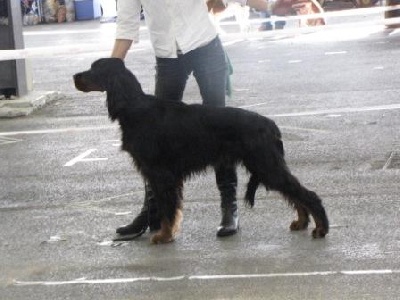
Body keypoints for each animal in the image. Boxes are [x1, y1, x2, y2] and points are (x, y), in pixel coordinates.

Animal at [73, 58, 330, 244]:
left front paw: (164, 235)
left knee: (306, 193)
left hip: (265, 164)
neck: (134, 107)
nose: (75, 76)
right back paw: (301, 222)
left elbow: (167, 207)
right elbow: (162, 203)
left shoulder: (160, 172)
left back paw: (321, 228)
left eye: (94, 69)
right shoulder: (156, 172)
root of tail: (271, 124)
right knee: (295, 193)